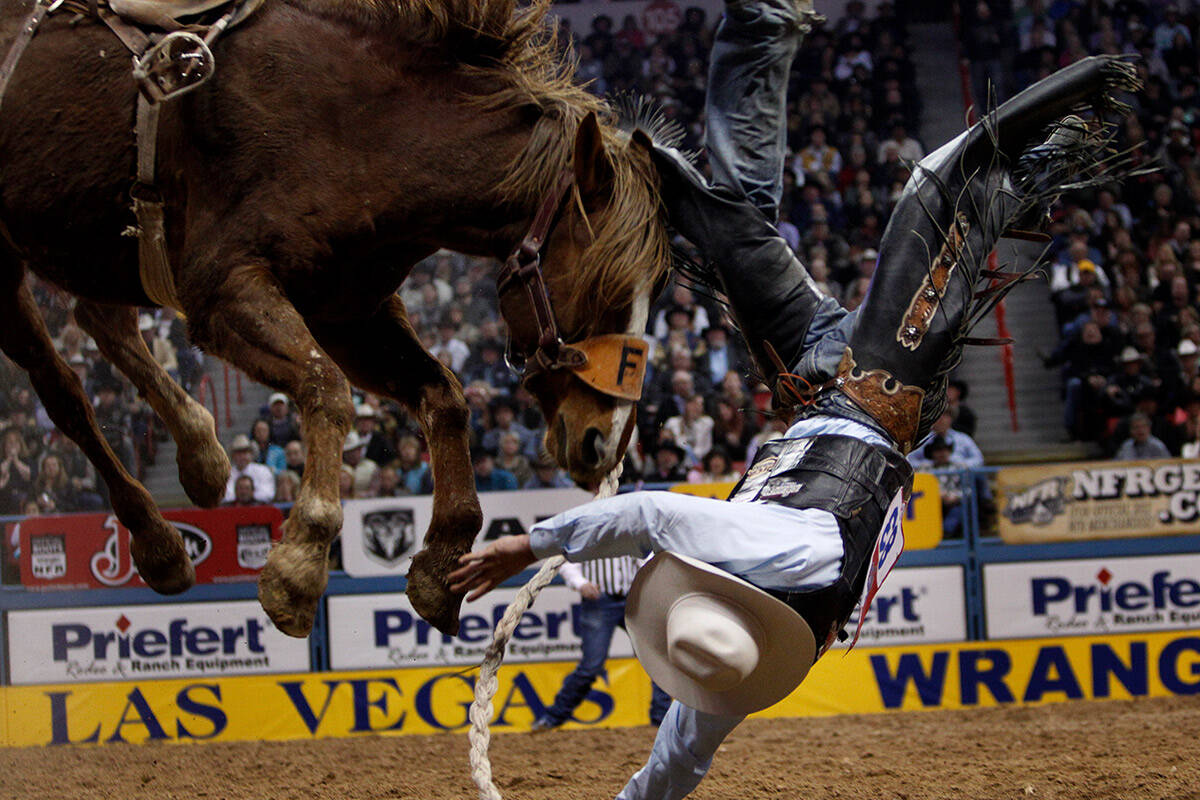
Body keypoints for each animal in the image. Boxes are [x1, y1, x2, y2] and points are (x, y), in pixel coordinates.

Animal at [0, 0, 672, 633]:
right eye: (602, 285)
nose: (607, 439)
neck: (355, 128)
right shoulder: (224, 289)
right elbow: (325, 385)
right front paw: (299, 563)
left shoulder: (349, 311)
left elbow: (445, 396)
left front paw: (442, 561)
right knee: (63, 389)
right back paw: (159, 540)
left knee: (99, 320)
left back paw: (201, 456)